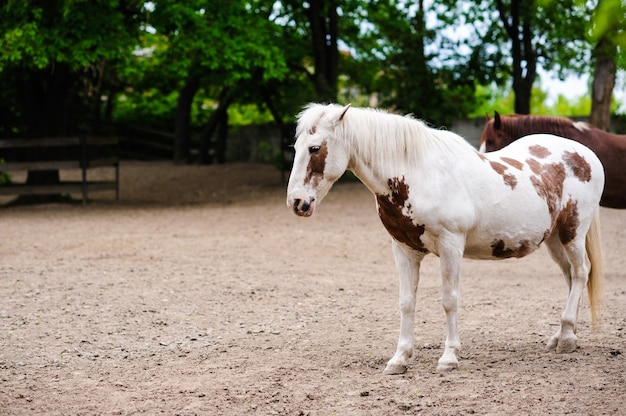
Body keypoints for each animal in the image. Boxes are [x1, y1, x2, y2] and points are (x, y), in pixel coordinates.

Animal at [286, 103, 604, 374]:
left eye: (315, 148)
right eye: (296, 147)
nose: (297, 202)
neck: (418, 174)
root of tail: (585, 154)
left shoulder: (451, 246)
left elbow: (449, 300)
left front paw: (449, 356)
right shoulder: (404, 250)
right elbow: (406, 302)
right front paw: (399, 358)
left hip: (573, 233)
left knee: (580, 273)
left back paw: (567, 337)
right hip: (554, 239)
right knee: (570, 277)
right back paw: (563, 336)